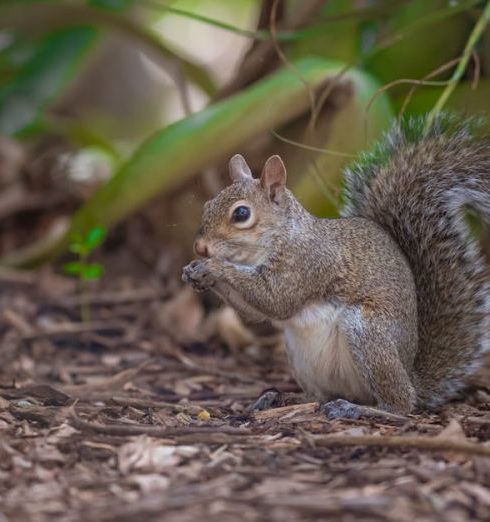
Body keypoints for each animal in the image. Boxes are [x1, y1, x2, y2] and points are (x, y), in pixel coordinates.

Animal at [182, 116, 490, 412]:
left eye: (241, 214)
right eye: (207, 205)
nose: (200, 247)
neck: (281, 238)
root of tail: (411, 372)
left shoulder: (309, 263)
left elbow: (276, 300)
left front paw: (213, 268)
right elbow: (256, 312)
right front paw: (196, 272)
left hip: (367, 331)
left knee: (402, 403)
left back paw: (361, 409)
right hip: (300, 357)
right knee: (321, 396)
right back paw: (284, 398)